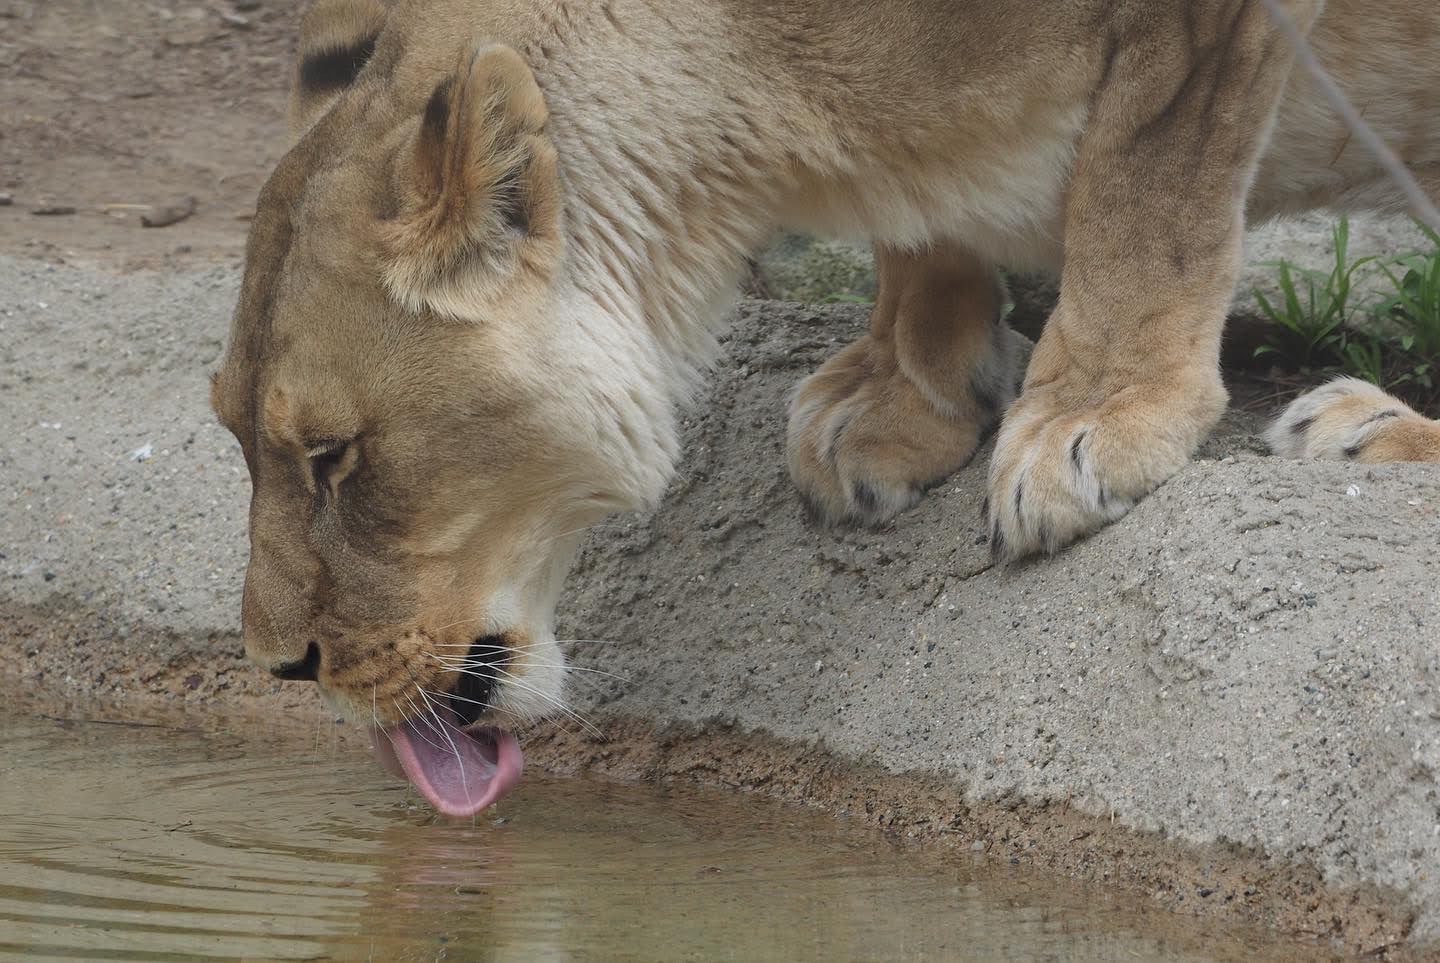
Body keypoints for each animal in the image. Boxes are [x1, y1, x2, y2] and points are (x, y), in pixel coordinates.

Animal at [211, 0, 1440, 815]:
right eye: (232, 434)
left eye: (333, 455)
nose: (280, 668)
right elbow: (925, 213)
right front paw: (903, 396)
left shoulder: (1199, 40)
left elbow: (1149, 179)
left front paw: (1090, 418)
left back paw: (1371, 425)